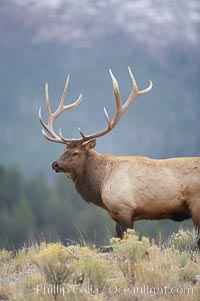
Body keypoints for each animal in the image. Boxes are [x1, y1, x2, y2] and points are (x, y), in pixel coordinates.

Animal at [38, 67, 200, 243]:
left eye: (75, 153)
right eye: (63, 150)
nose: (54, 164)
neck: (101, 185)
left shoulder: (125, 209)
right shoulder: (116, 216)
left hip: (196, 204)